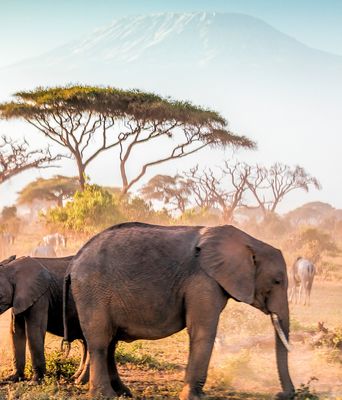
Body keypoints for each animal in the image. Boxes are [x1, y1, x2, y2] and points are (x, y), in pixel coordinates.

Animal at [65, 223, 296, 398]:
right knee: (100, 342)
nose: (281, 395)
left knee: (110, 342)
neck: (249, 242)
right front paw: (195, 397)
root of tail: (74, 262)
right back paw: (106, 396)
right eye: (277, 281)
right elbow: (202, 331)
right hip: (93, 291)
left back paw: (123, 393)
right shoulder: (203, 280)